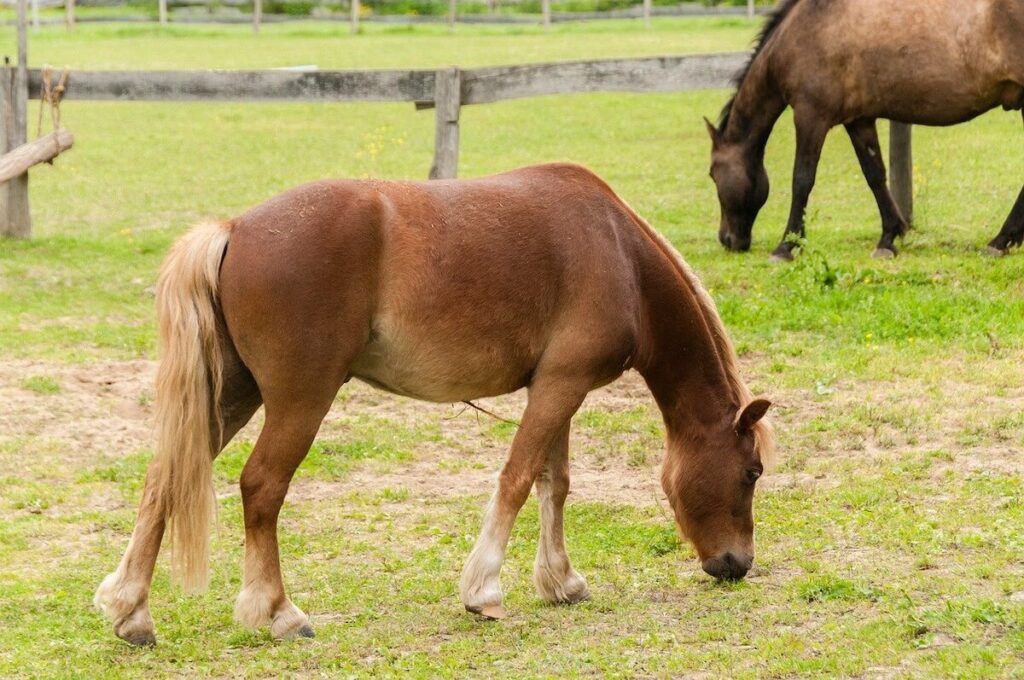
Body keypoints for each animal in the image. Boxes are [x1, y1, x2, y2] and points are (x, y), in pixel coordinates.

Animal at [93, 163, 775, 646]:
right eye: (751, 472)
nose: (736, 564)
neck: (618, 254)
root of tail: (234, 230)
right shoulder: (561, 386)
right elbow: (518, 479)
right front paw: (483, 590)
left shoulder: (558, 387)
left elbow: (554, 483)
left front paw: (560, 581)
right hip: (298, 402)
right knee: (261, 488)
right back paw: (279, 612)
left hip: (232, 395)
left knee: (165, 478)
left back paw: (132, 611)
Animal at [707, 0, 1024, 260]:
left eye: (712, 173)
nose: (727, 239)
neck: (804, 29)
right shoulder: (859, 120)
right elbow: (875, 175)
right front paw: (889, 238)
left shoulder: (811, 117)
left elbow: (802, 180)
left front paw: (787, 246)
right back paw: (1002, 240)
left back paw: (1000, 241)